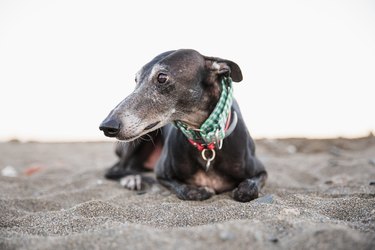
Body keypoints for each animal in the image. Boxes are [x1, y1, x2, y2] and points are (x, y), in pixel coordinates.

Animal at [100, 48, 268, 201]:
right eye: (136, 79)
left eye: (162, 77)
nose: (106, 126)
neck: (205, 141)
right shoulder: (162, 174)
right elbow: (185, 190)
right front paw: (198, 190)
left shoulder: (261, 171)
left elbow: (248, 190)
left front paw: (243, 189)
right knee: (115, 169)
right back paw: (133, 178)